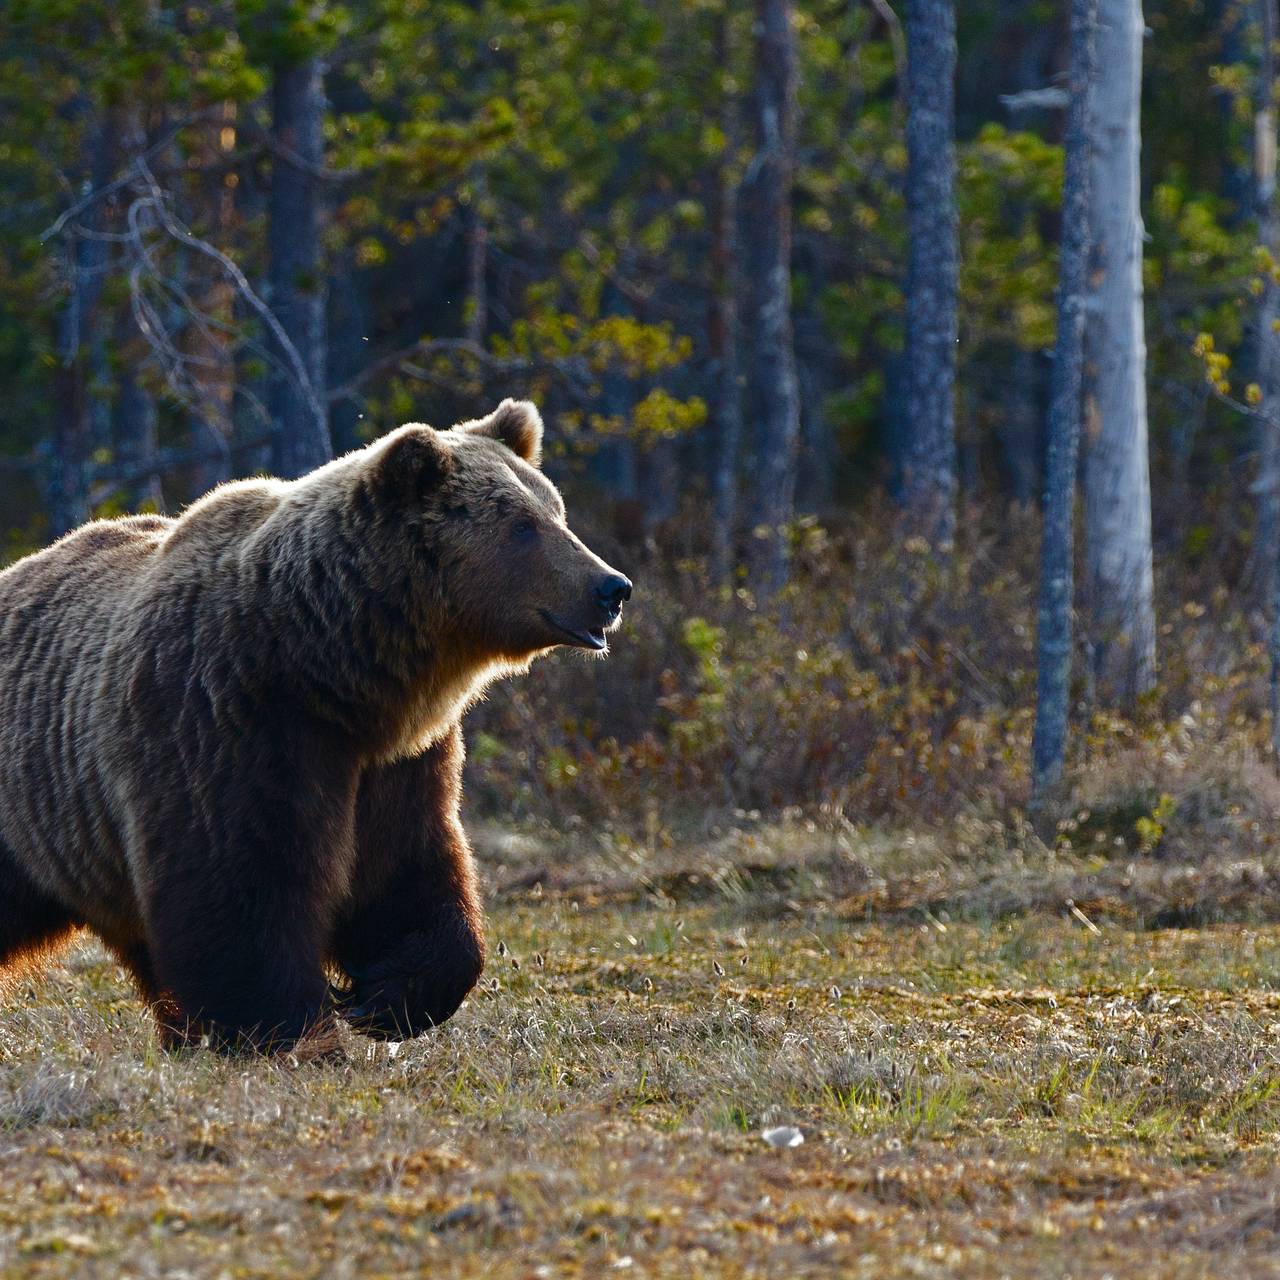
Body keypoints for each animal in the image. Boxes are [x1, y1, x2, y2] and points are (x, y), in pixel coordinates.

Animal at [0, 399, 629, 1049]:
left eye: (556, 510)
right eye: (521, 526)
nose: (612, 587)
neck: (324, 667)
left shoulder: (396, 760)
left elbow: (407, 870)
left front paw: (384, 995)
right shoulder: (225, 720)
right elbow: (241, 882)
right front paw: (288, 1023)